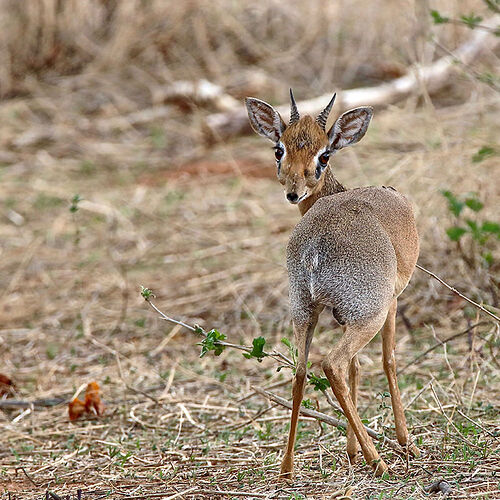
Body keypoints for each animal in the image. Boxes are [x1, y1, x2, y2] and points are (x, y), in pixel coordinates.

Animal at [246, 92, 422, 478]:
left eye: (323, 154)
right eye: (279, 149)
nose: (294, 191)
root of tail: (316, 246)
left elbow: (358, 367)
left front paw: (351, 451)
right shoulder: (390, 303)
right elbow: (387, 361)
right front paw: (406, 443)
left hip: (303, 311)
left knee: (300, 371)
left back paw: (287, 468)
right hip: (368, 315)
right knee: (332, 364)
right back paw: (378, 461)